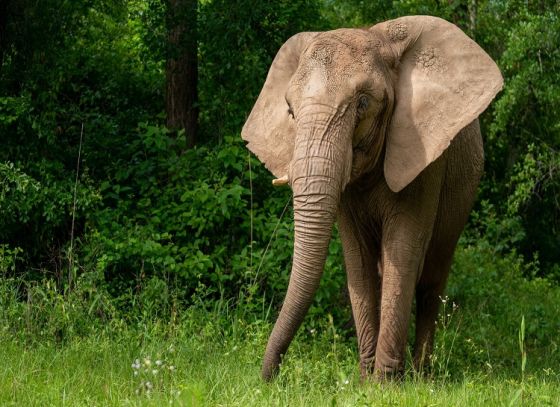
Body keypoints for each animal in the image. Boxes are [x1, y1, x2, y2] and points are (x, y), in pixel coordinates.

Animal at [241, 15, 504, 380]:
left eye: (363, 103)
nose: (269, 379)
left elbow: (403, 250)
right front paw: (366, 380)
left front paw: (386, 383)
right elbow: (357, 259)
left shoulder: (423, 156)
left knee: (431, 280)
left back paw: (422, 375)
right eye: (291, 111)